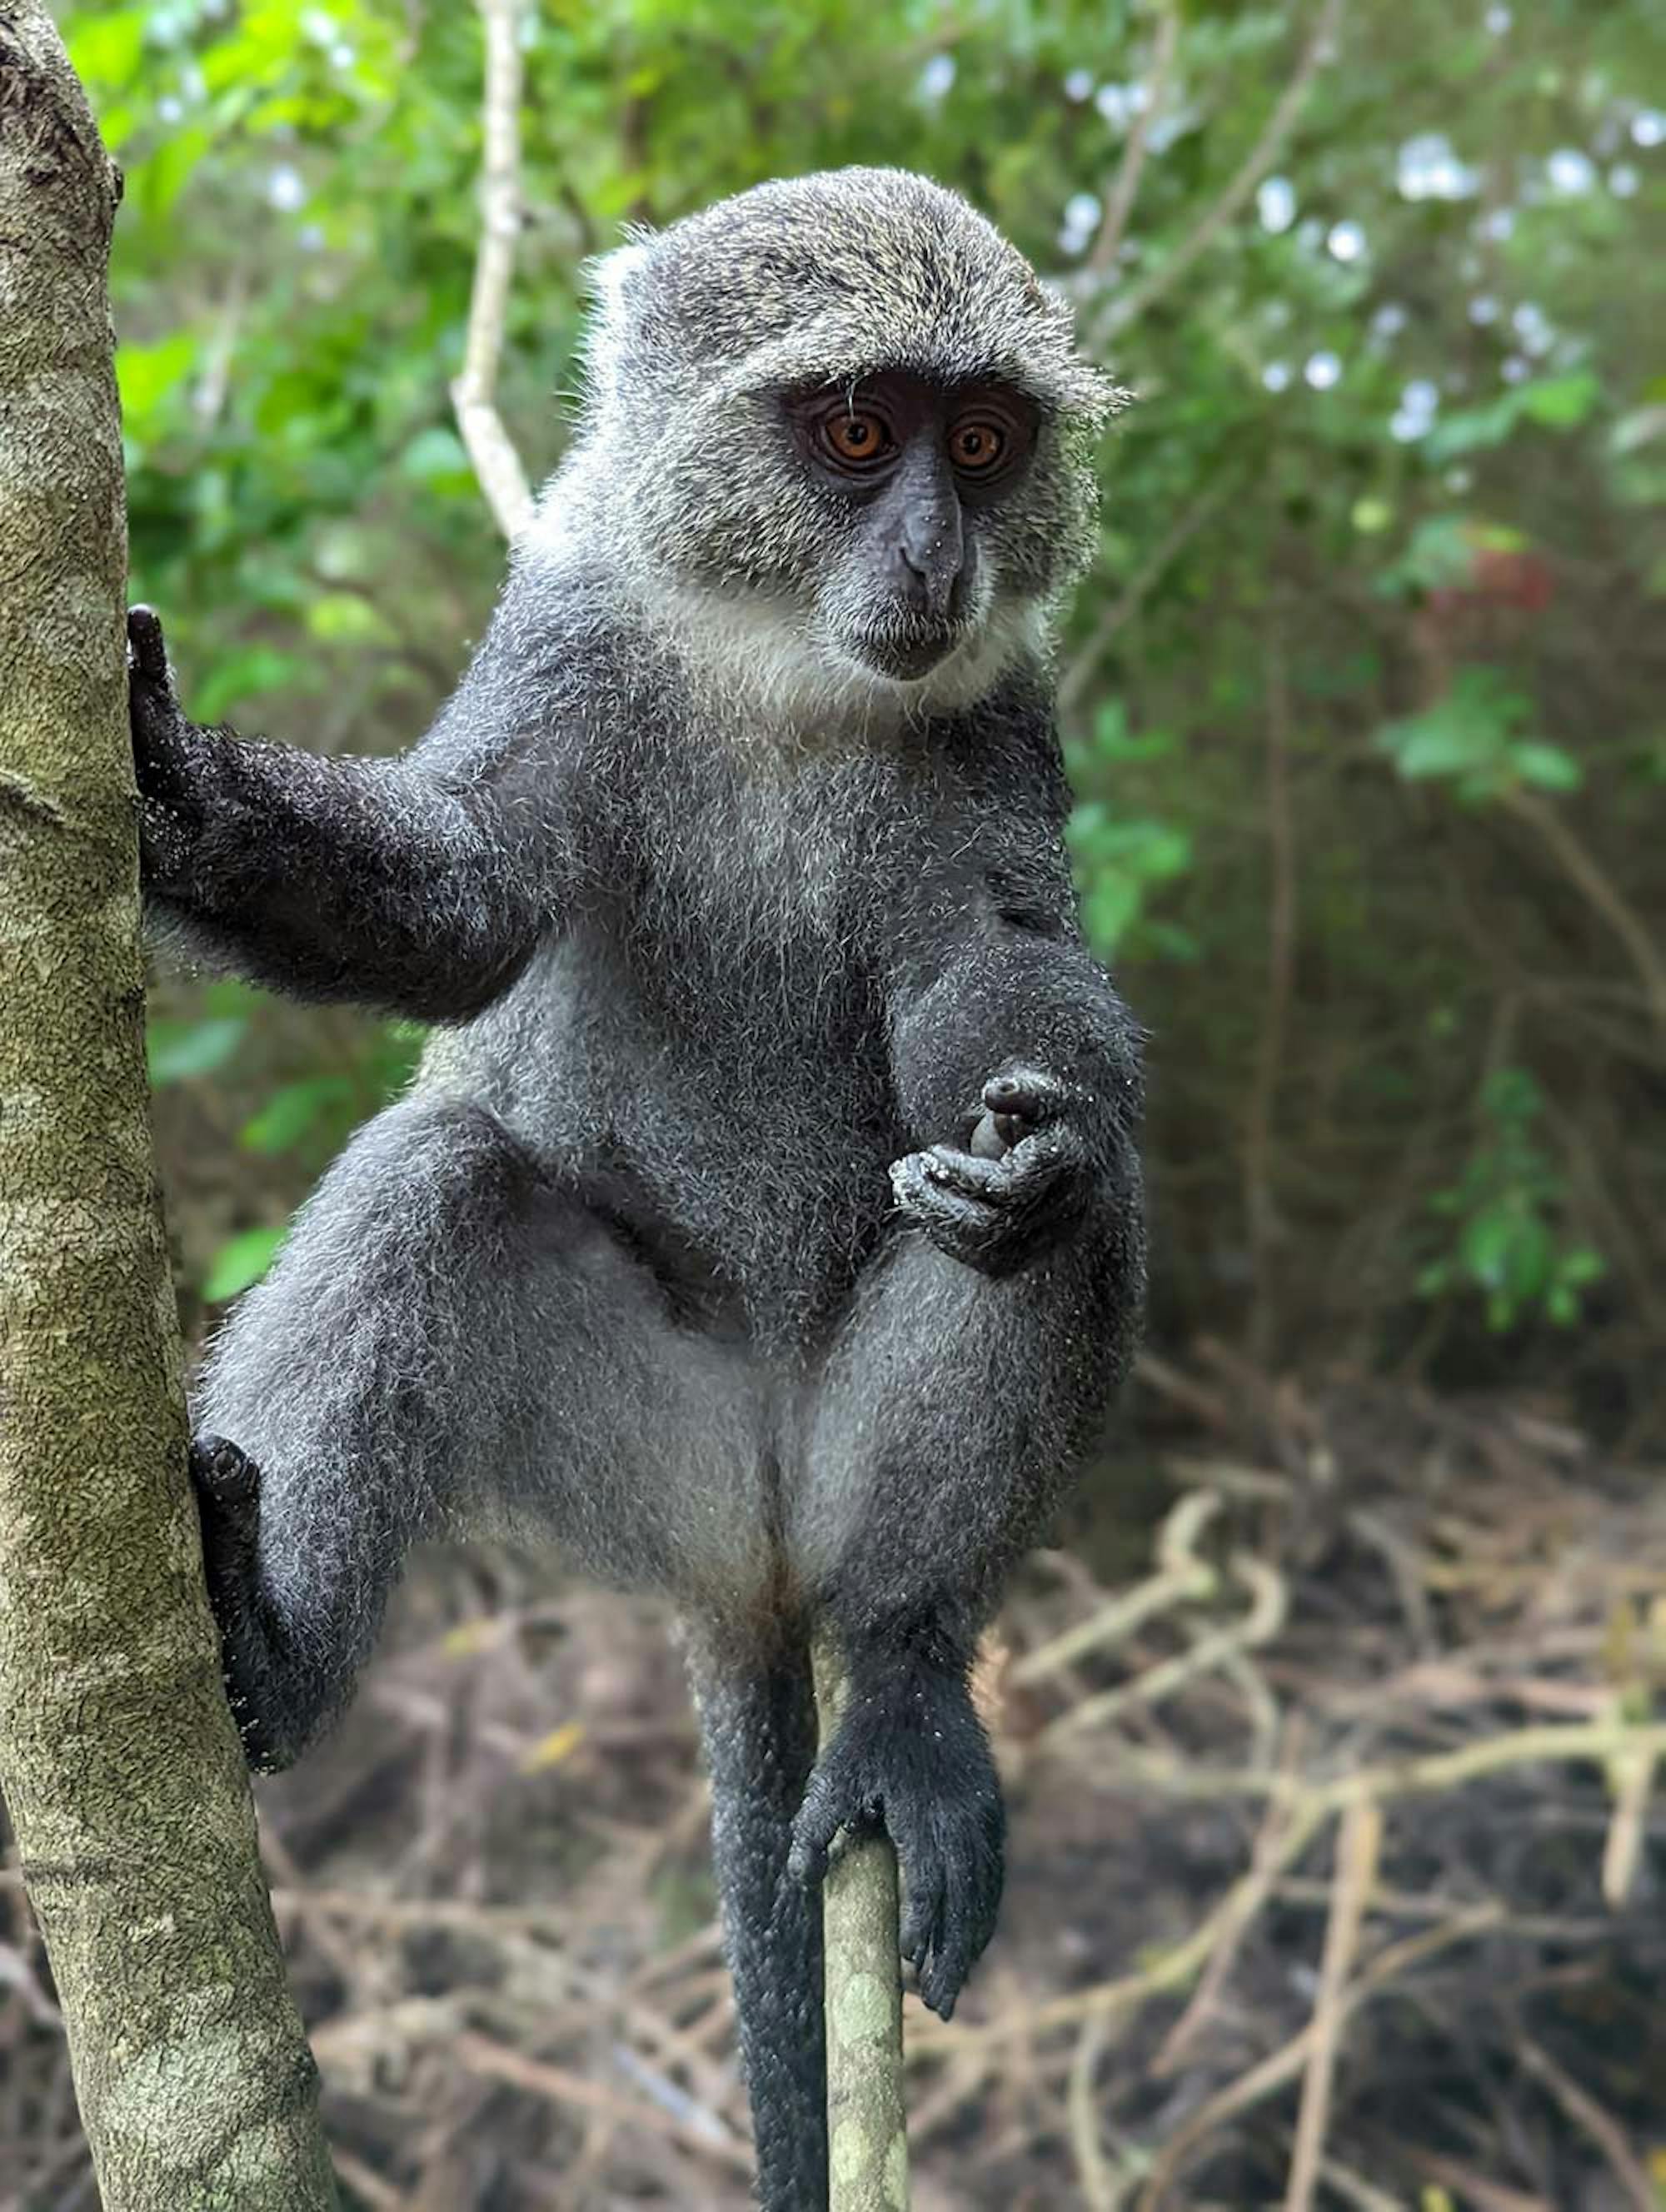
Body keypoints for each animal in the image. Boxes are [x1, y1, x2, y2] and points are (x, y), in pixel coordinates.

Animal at [128, 168, 1145, 2210]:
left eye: (984, 444)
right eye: (858, 435)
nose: (939, 560)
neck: (782, 673)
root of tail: (744, 1556)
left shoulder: (994, 724)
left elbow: (987, 978)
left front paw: (1049, 1145)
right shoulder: (573, 639)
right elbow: (468, 897)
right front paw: (179, 795)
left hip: (825, 1459)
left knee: (1055, 1257)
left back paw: (904, 1688)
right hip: (626, 1432)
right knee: (441, 1176)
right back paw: (264, 1643)